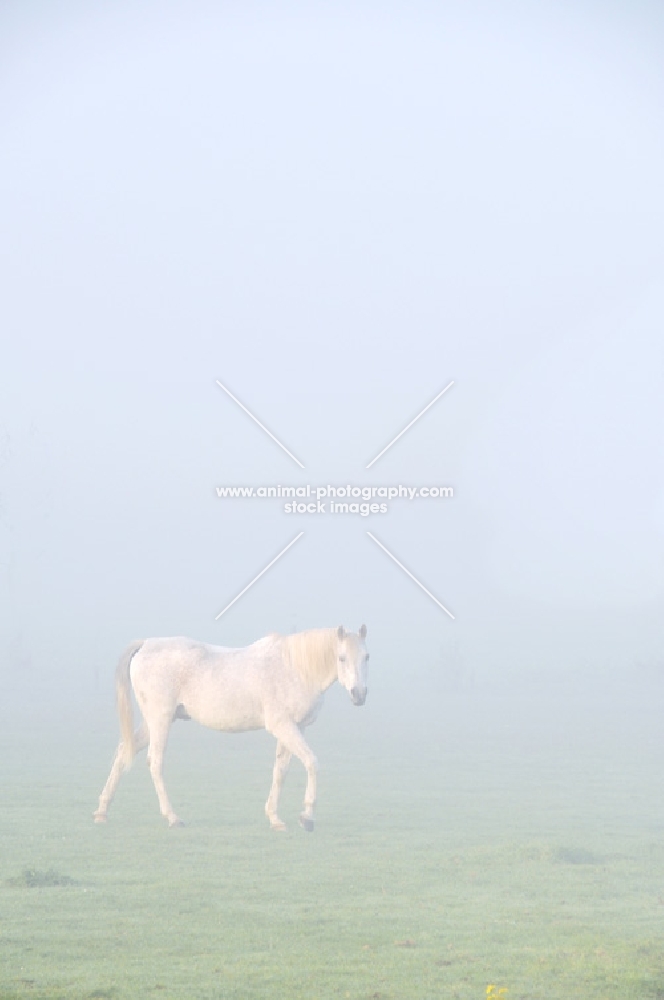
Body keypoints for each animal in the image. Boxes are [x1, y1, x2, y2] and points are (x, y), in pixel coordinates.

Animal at [93, 624, 368, 828]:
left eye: (367, 656)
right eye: (341, 658)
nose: (359, 695)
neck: (295, 667)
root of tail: (146, 644)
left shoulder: (295, 728)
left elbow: (280, 771)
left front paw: (274, 818)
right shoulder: (283, 726)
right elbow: (311, 762)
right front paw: (307, 817)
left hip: (154, 722)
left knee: (123, 752)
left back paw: (102, 810)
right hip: (160, 720)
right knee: (155, 762)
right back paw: (172, 817)